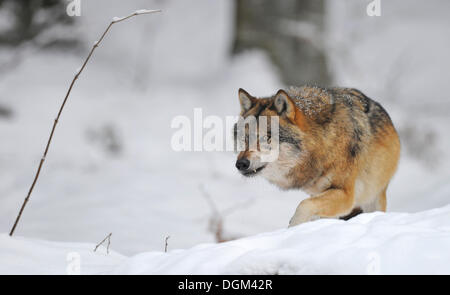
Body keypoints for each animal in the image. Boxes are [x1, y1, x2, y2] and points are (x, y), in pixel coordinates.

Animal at [234, 85, 400, 227]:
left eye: (266, 138)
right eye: (245, 138)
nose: (241, 164)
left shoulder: (346, 195)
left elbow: (303, 205)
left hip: (373, 196)